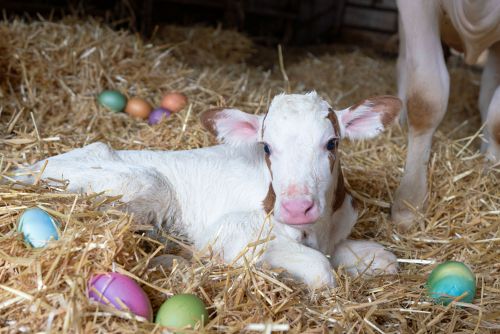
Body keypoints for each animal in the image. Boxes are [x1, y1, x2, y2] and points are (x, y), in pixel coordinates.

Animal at [14, 92, 398, 288]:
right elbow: (321, 271)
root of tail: (27, 166)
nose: (296, 207)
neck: (318, 231)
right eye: (267, 147)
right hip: (144, 183)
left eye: (332, 143)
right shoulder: (233, 230)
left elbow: (385, 258)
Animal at [392, 0, 500, 228]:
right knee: (403, 60)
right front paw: (409, 203)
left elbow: (496, 115)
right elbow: (425, 97)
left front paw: (490, 174)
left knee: (489, 87)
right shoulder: (415, 8)